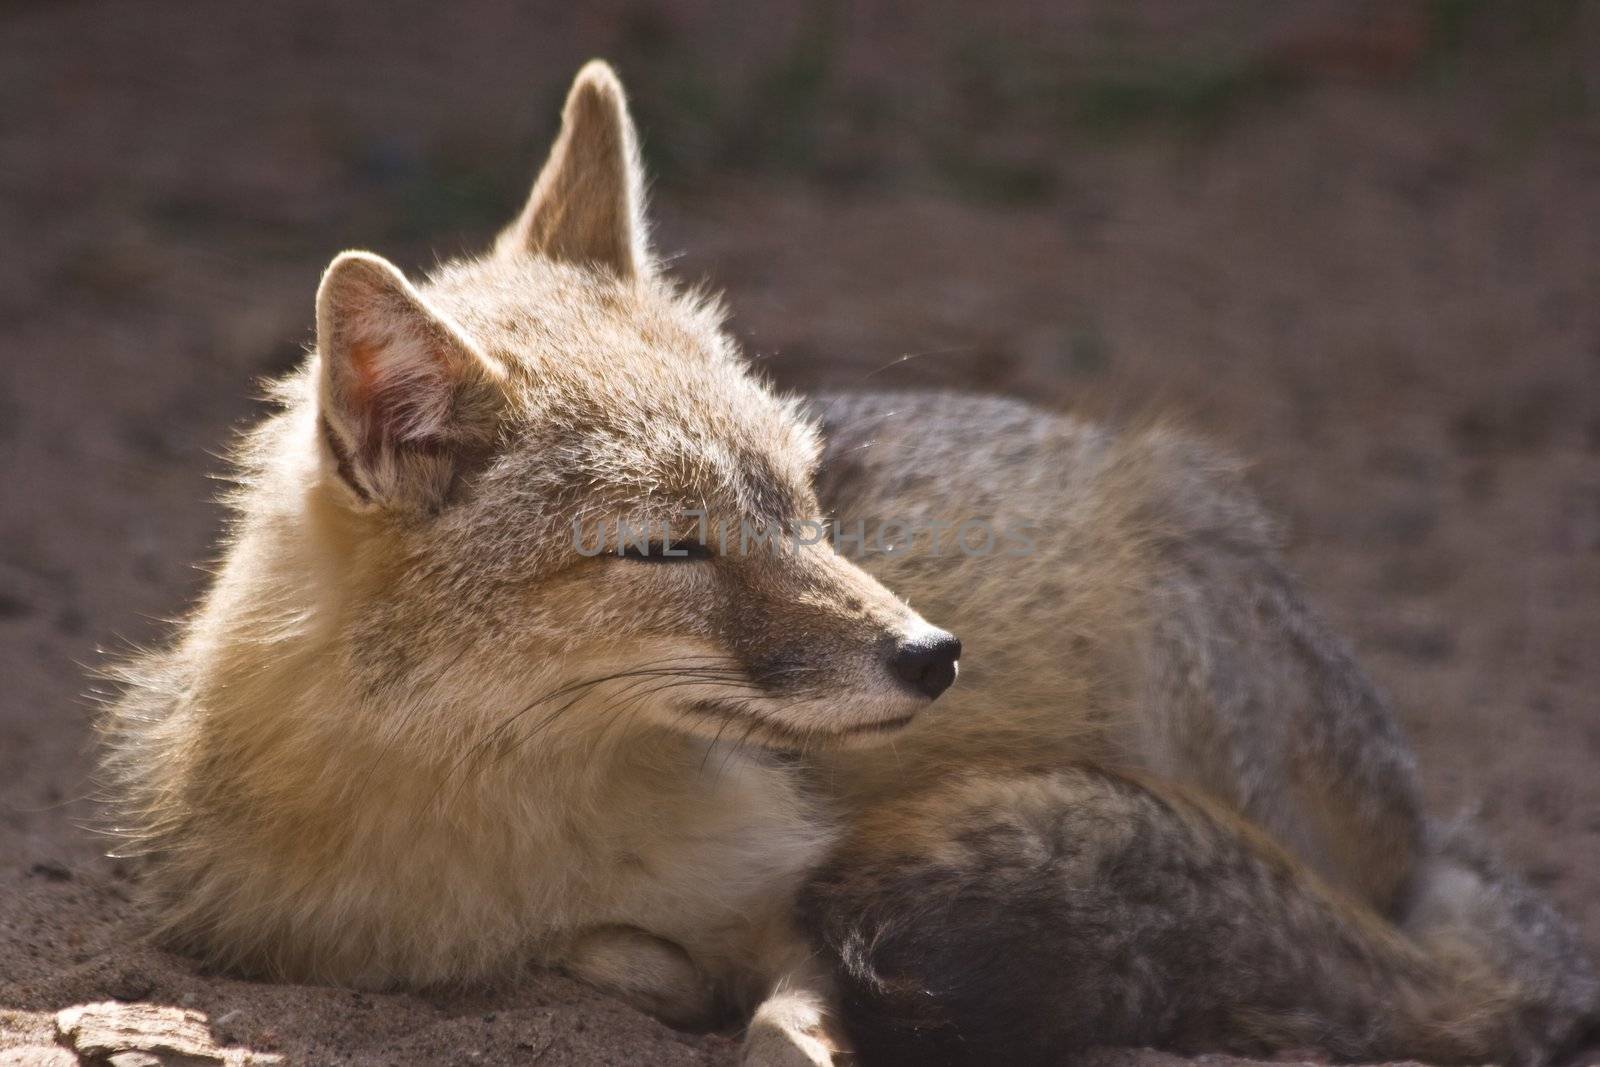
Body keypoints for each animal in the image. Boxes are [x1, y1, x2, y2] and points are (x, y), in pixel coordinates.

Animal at [96, 60, 1587, 1067]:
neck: (505, 821)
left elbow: (789, 993)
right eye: (667, 545)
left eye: (807, 497)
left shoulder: (806, 889)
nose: (933, 656)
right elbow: (622, 960)